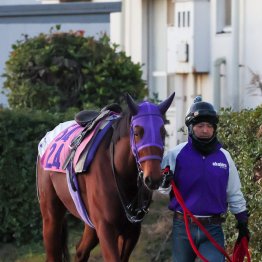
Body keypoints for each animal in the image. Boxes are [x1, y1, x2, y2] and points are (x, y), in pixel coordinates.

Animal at [36, 92, 174, 262]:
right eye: (137, 132)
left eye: (163, 132)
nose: (153, 178)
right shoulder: (106, 227)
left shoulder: (131, 231)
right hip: (51, 215)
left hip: (89, 221)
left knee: (80, 251)